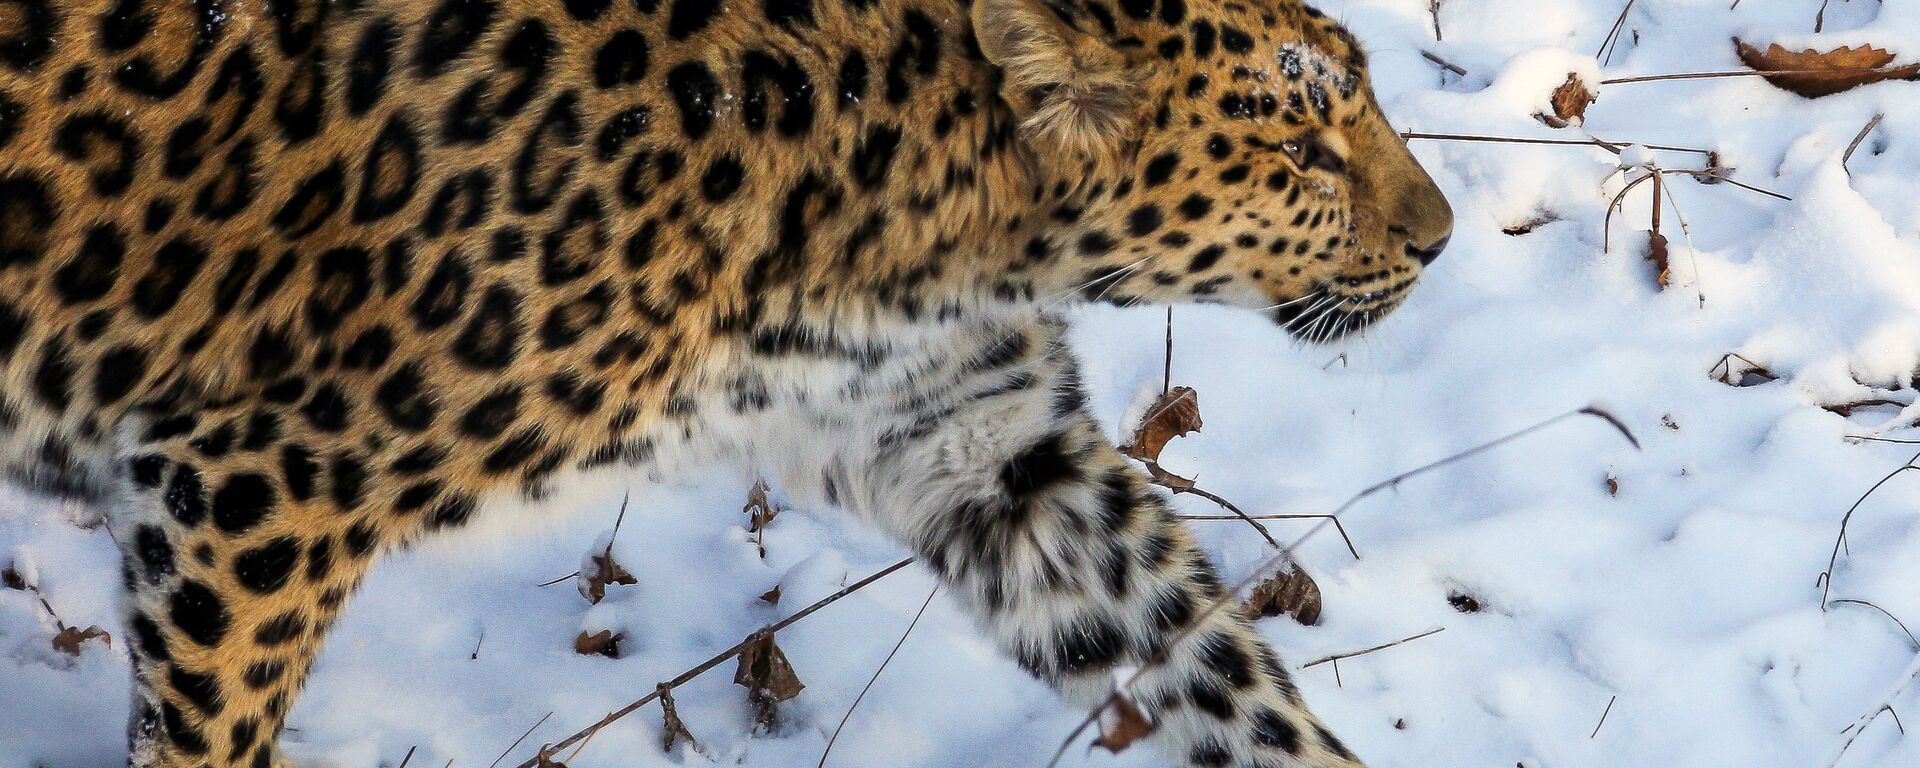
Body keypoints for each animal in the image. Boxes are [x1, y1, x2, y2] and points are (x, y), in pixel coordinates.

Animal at [0, 0, 1443, 764]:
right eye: (1304, 153)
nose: (1439, 239)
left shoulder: (981, 450)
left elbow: (1212, 664)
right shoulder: (260, 480)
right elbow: (213, 730)